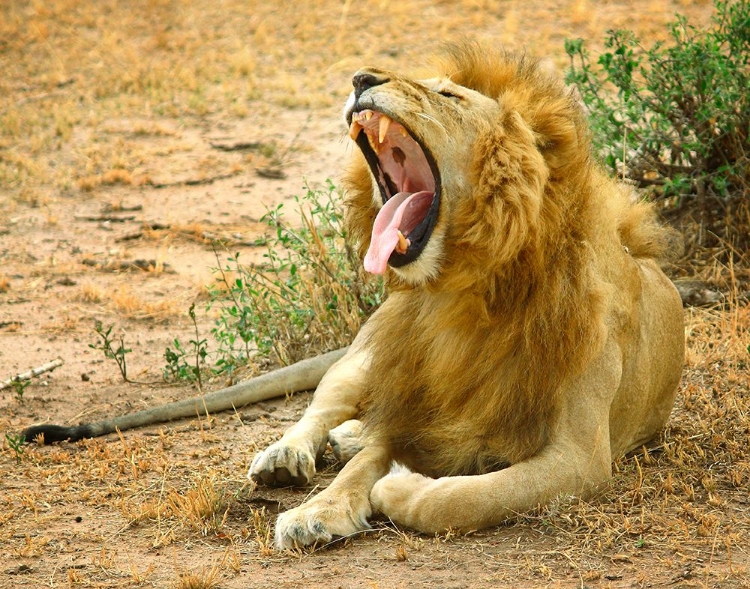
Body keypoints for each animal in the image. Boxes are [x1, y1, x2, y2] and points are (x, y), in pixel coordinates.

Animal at [248, 43, 688, 548]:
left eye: (448, 95)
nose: (360, 79)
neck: (461, 295)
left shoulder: (581, 457)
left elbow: (465, 498)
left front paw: (397, 486)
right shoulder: (421, 412)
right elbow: (360, 467)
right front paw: (316, 511)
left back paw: (350, 437)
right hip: (365, 357)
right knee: (323, 405)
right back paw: (286, 457)